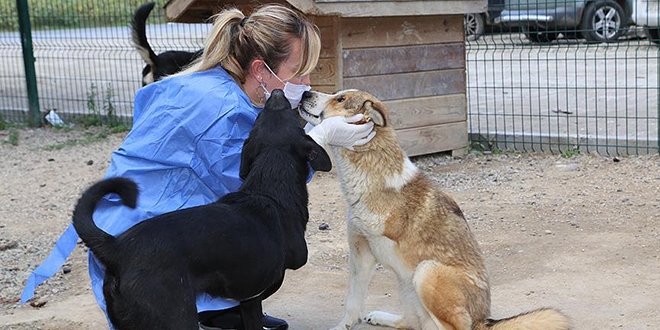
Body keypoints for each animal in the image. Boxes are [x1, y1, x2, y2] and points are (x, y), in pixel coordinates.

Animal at [73, 90, 330, 330]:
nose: (277, 93)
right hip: (177, 314)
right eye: (292, 117)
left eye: (261, 117)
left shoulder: (249, 299)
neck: (269, 183)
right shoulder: (262, 285)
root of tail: (118, 247)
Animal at [296, 89, 568, 330]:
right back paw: (381, 316)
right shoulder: (360, 252)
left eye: (340, 99)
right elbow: (352, 302)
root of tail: (482, 321)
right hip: (406, 284)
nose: (305, 93)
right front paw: (342, 326)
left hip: (426, 272)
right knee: (411, 322)